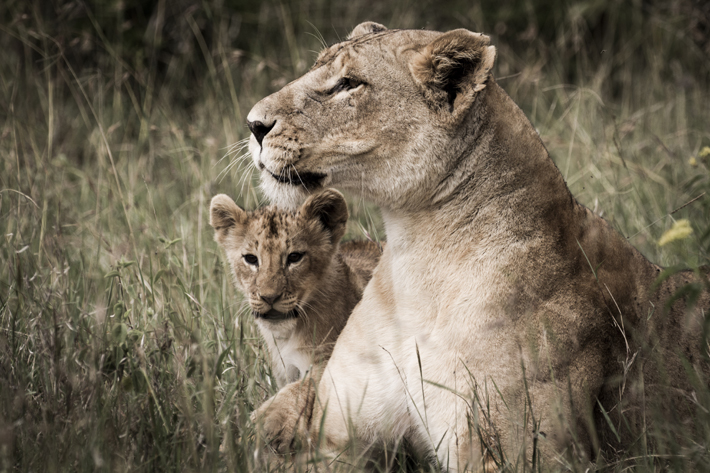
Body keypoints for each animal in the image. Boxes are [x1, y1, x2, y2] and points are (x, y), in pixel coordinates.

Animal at [245, 22, 710, 470]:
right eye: (317, 68)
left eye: (349, 84)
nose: (253, 124)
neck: (414, 258)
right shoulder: (336, 437)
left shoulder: (522, 454)